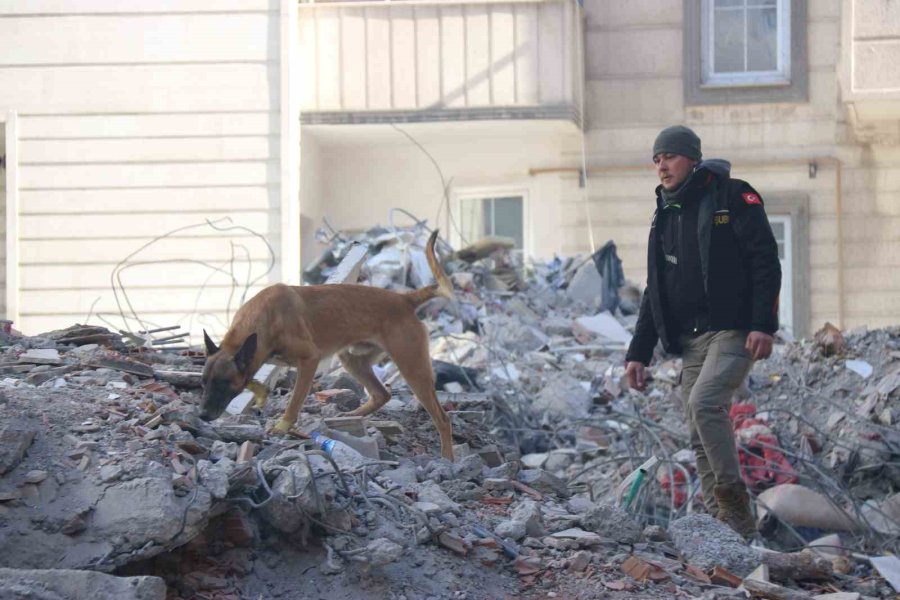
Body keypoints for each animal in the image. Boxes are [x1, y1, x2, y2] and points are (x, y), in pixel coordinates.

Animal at [200, 230, 454, 460]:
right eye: (204, 383)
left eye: (223, 383)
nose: (202, 416)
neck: (263, 319)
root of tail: (405, 299)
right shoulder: (256, 357)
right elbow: (253, 379)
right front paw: (261, 394)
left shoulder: (308, 360)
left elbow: (294, 401)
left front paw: (282, 426)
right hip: (353, 360)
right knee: (381, 394)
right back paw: (351, 416)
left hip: (412, 367)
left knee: (442, 418)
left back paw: (447, 458)